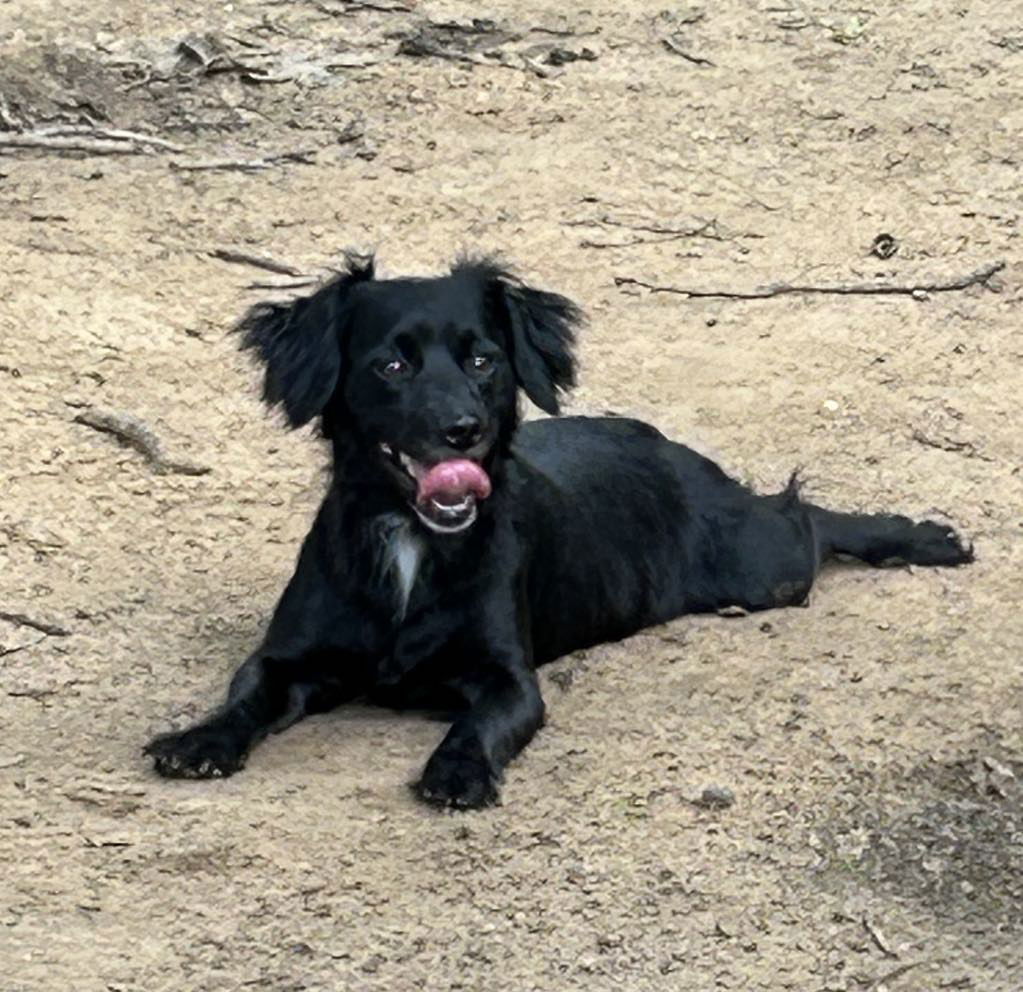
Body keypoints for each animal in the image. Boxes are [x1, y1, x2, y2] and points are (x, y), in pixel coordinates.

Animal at [146, 258, 973, 809]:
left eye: (484, 359)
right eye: (390, 365)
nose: (464, 430)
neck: (410, 544)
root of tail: (666, 444)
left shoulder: (508, 681)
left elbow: (478, 725)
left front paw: (457, 771)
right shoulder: (287, 660)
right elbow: (245, 697)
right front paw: (199, 738)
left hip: (759, 565)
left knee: (803, 514)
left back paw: (922, 537)